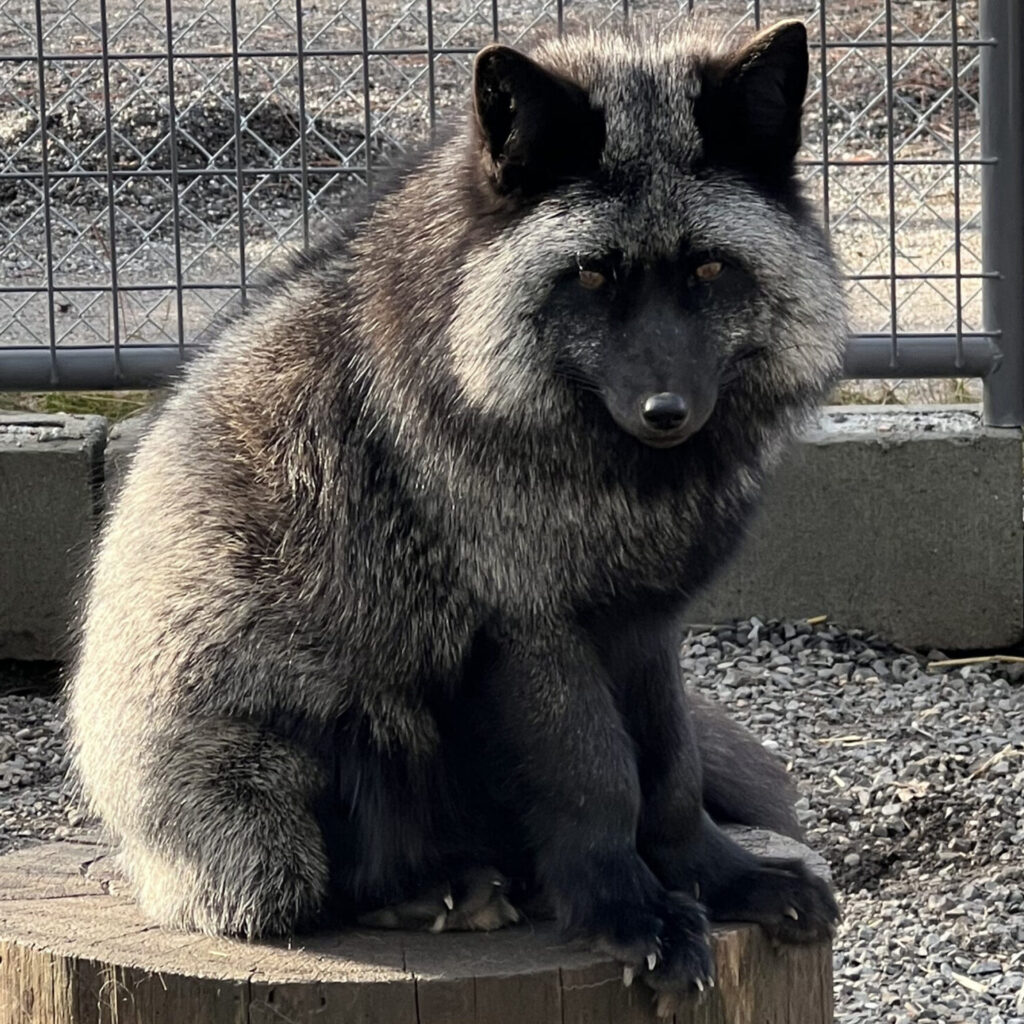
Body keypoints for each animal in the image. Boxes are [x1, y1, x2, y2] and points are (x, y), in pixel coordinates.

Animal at [68, 17, 846, 1014]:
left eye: (710, 268)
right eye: (592, 276)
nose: (667, 410)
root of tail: (132, 845)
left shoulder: (644, 625)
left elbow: (670, 777)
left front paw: (720, 879)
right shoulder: (532, 626)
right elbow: (602, 782)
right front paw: (633, 913)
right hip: (323, 740)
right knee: (315, 892)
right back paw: (432, 894)